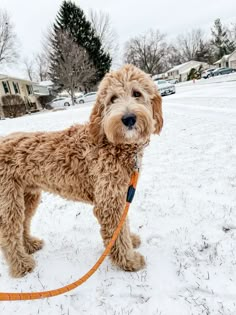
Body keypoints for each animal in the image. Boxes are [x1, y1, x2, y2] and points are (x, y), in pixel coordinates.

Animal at [0, 65, 162, 278]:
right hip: (8, 200)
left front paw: (131, 240)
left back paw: (29, 245)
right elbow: (116, 234)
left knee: (23, 224)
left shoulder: (120, 193)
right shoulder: (108, 199)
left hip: (28, 196)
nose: (128, 119)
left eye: (137, 94)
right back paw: (21, 265)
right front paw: (129, 261)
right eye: (112, 98)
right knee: (8, 233)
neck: (111, 142)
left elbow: (123, 224)